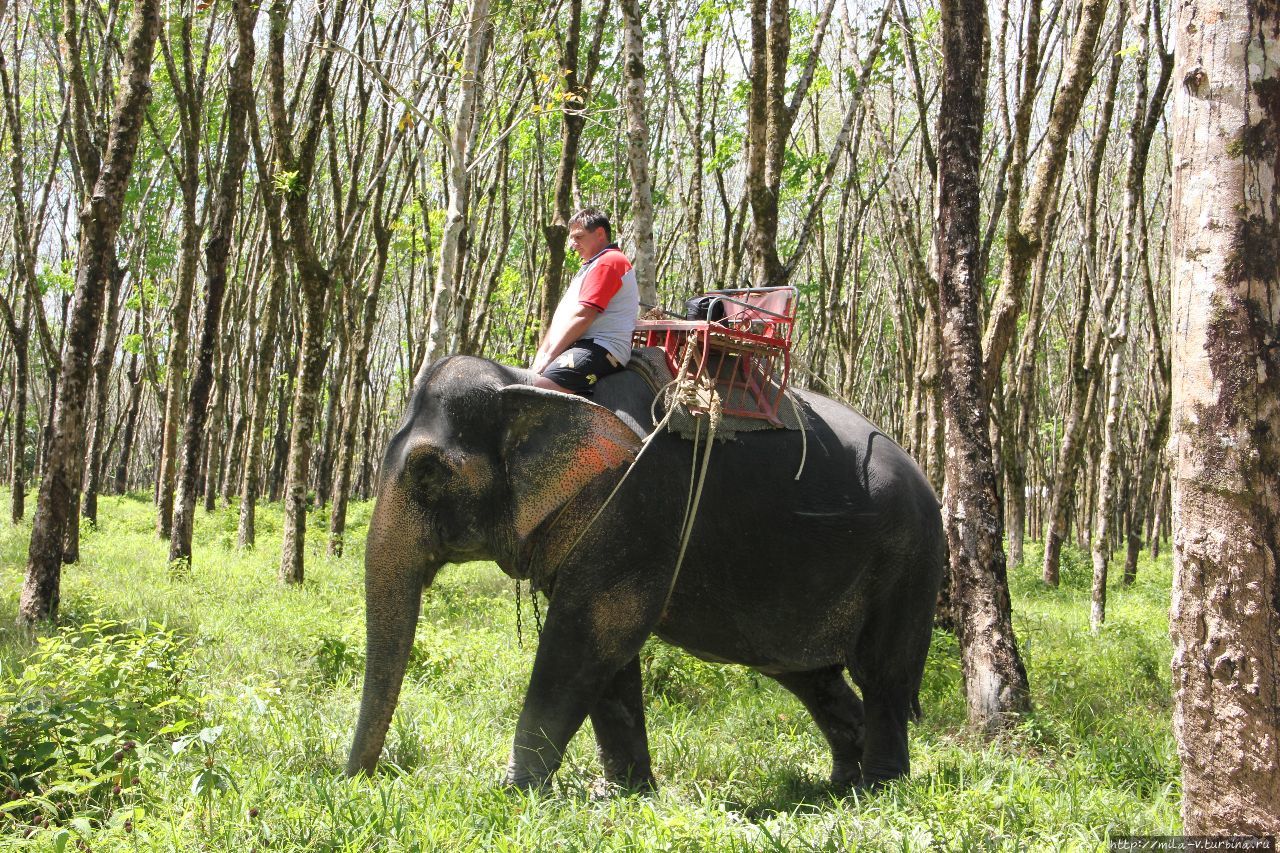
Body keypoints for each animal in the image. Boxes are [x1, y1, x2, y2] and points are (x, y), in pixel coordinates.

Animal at [345, 353, 947, 788]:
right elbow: (607, 656)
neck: (532, 385)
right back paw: (840, 785)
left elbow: (589, 634)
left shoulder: (636, 503)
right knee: (808, 673)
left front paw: (511, 793)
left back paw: (881, 787)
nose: (362, 783)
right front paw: (624, 793)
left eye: (428, 471)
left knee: (883, 673)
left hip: (909, 558)